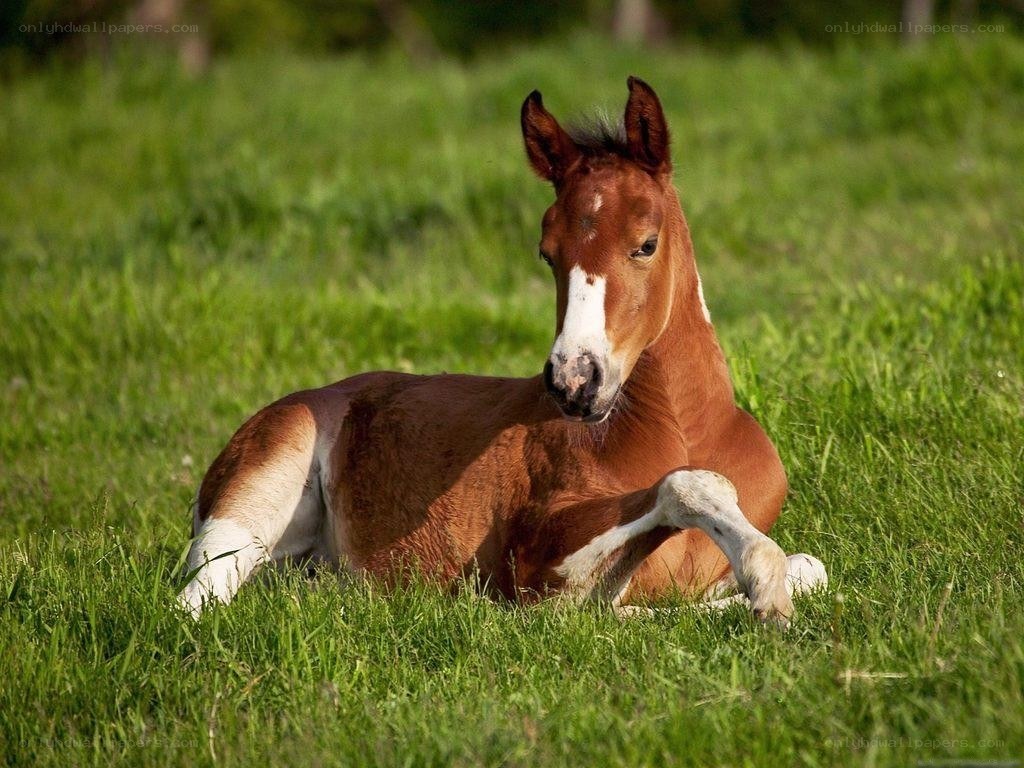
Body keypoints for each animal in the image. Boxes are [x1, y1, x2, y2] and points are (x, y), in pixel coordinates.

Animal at [178, 77, 826, 625]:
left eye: (646, 243)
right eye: (547, 253)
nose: (574, 380)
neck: (686, 430)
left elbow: (812, 567)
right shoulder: (534, 560)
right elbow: (681, 495)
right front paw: (764, 588)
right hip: (255, 493)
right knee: (194, 600)